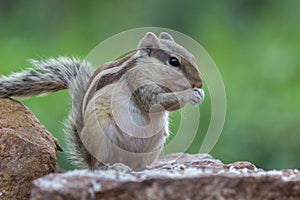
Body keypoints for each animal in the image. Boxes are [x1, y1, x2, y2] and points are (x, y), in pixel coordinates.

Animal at [0, 32, 204, 170]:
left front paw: (199, 93)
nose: (199, 83)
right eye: (174, 61)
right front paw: (190, 94)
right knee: (100, 166)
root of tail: (88, 159)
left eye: (193, 57)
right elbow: (155, 101)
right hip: (102, 133)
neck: (146, 69)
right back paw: (112, 167)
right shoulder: (138, 83)